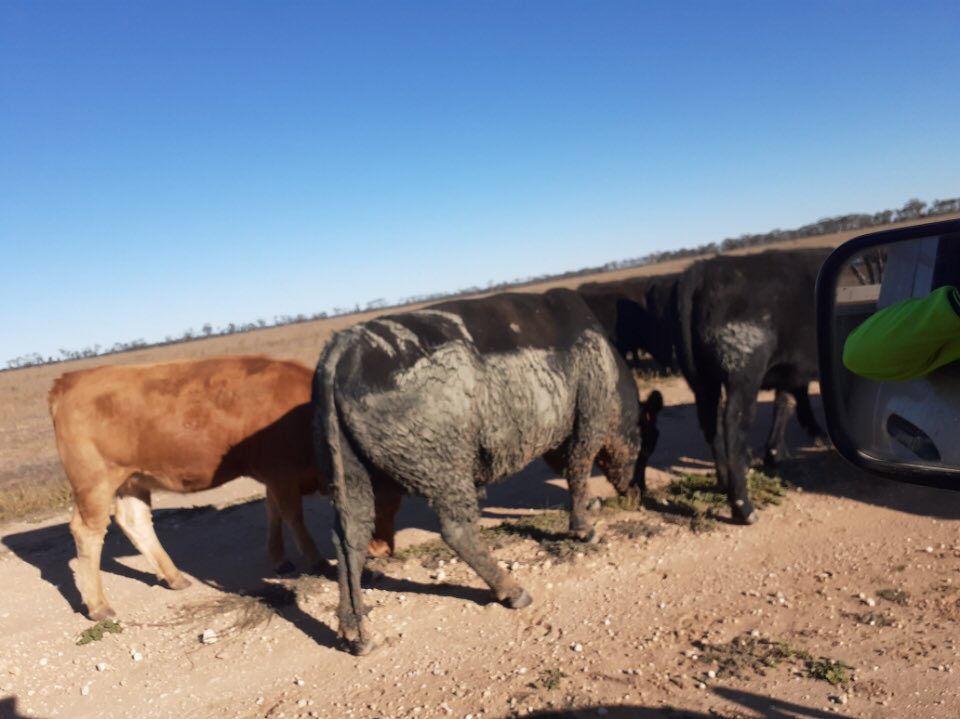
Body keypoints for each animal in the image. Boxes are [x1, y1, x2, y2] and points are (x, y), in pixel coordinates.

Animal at [48, 356, 399, 621]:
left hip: (132, 480)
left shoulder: (274, 478)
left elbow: (272, 512)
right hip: (95, 483)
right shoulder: (281, 473)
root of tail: (70, 379)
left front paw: (279, 559)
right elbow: (292, 516)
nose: (381, 550)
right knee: (88, 533)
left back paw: (174, 577)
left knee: (135, 523)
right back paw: (99, 605)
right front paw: (317, 561)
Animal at [313, 289, 662, 654]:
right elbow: (578, 469)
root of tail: (343, 347)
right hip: (446, 471)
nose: (639, 493)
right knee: (457, 532)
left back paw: (354, 632)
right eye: (648, 443)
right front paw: (584, 528)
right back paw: (513, 591)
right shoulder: (589, 420)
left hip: (353, 478)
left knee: (349, 540)